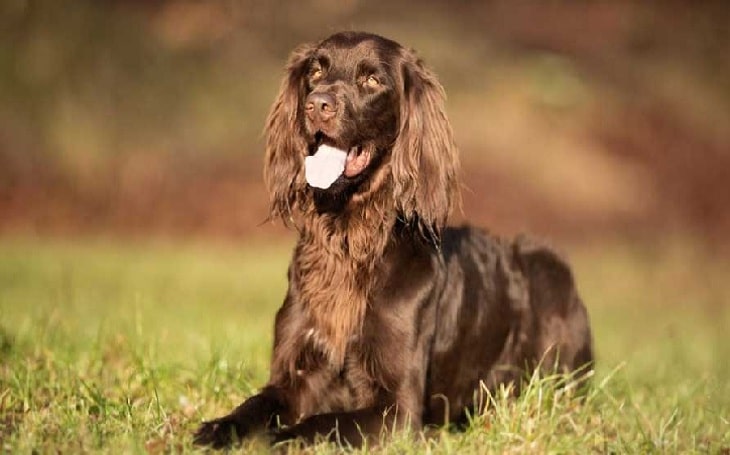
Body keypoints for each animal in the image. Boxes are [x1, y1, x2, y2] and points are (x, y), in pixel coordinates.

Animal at [193, 31, 592, 448]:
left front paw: (277, 439)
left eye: (372, 80)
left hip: (547, 265)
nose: (316, 105)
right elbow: (254, 405)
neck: (350, 241)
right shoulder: (294, 376)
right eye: (316, 70)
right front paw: (218, 428)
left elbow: (319, 423)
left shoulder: (397, 411)